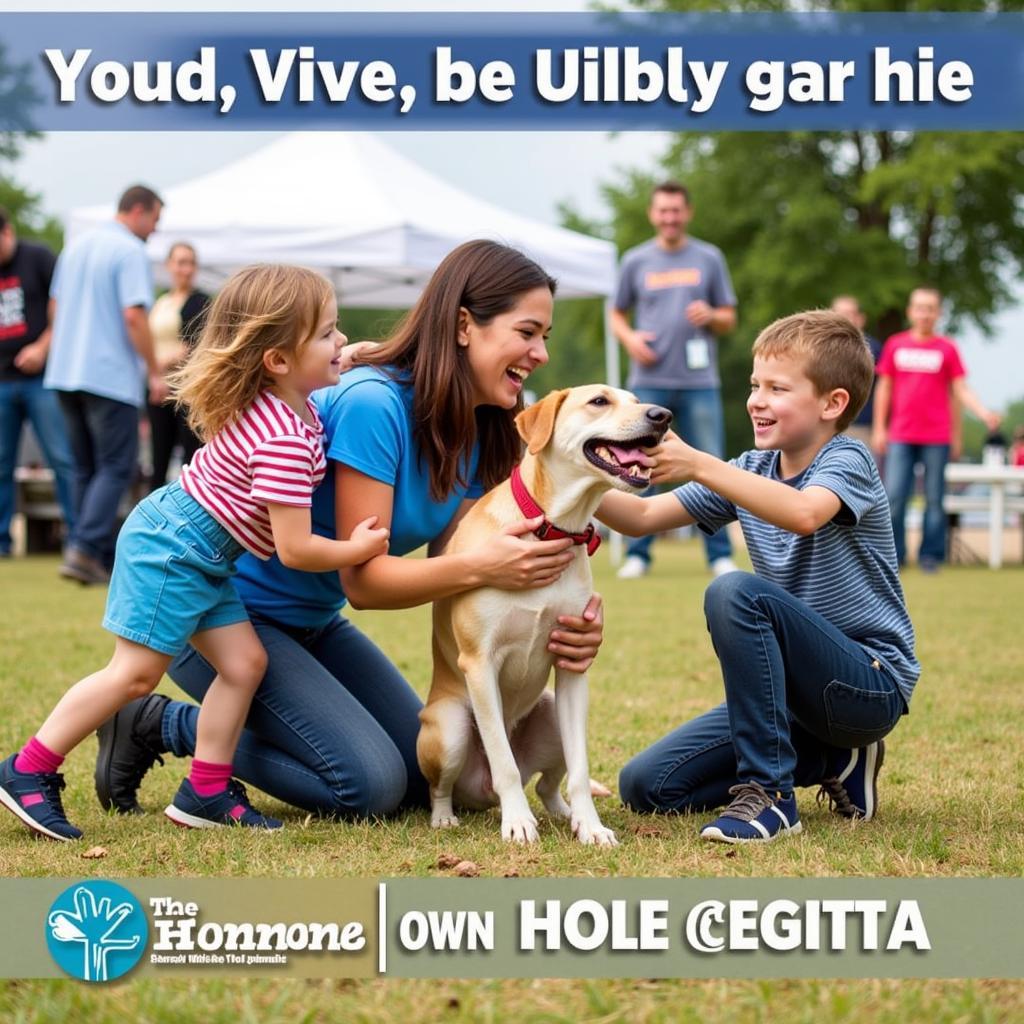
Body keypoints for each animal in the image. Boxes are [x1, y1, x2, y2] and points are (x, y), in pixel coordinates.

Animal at [415, 387, 671, 843]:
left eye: (636, 399)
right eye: (600, 401)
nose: (663, 416)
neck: (554, 526)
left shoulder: (571, 661)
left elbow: (580, 768)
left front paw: (592, 827)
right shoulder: (479, 663)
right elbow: (503, 761)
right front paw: (517, 822)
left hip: (550, 714)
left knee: (548, 785)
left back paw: (566, 814)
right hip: (450, 726)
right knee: (444, 787)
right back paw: (445, 816)